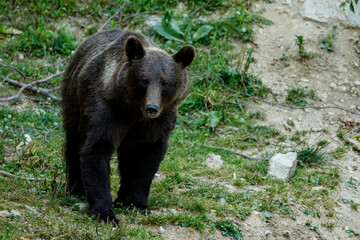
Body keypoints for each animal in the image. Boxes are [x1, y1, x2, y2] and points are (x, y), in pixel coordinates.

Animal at [62, 29, 195, 223]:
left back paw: (122, 198)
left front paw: (136, 203)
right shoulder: (107, 110)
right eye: (144, 80)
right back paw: (76, 188)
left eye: (165, 83)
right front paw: (105, 213)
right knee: (74, 142)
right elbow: (97, 148)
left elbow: (146, 157)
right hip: (73, 99)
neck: (134, 112)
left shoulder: (158, 122)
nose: (152, 108)